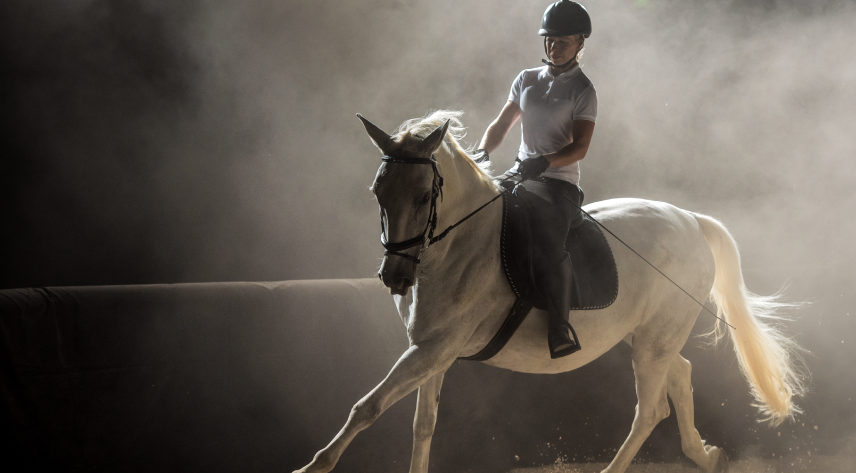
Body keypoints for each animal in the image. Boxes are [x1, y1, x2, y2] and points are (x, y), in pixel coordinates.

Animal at [292, 109, 804, 472]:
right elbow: (423, 426)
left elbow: (368, 407)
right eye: (377, 192)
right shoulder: (430, 351)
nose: (395, 278)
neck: (460, 245)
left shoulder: (436, 348)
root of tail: (690, 220)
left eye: (423, 196)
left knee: (650, 408)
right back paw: (707, 455)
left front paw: (311, 468)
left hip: (656, 339)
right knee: (680, 375)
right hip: (646, 336)